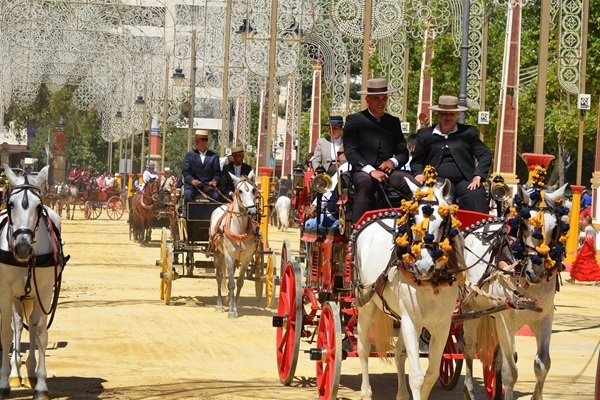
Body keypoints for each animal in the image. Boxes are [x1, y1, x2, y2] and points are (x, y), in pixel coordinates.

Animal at [0, 164, 68, 398]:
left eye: (39, 207)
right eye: (11, 204)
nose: (22, 247)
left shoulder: (45, 291)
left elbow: (40, 334)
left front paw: (40, 385)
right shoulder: (5, 293)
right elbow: (7, 333)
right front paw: (4, 381)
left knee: (31, 324)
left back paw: (28, 371)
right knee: (18, 325)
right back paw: (15, 372)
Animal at [209, 172, 258, 318]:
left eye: (253, 190)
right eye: (240, 191)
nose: (252, 212)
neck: (240, 230)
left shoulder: (246, 258)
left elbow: (240, 282)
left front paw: (235, 306)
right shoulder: (229, 257)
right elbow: (231, 284)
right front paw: (231, 310)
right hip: (218, 254)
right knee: (219, 277)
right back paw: (219, 305)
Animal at [354, 178, 466, 400]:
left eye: (444, 221)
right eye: (413, 219)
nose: (423, 266)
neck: (432, 283)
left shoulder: (442, 326)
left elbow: (431, 375)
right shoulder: (411, 322)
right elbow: (416, 377)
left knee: (399, 352)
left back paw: (401, 394)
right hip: (366, 303)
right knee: (363, 348)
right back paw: (366, 392)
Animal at [462, 183, 568, 398]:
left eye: (555, 227)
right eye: (524, 224)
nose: (536, 271)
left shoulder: (545, 317)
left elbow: (542, 364)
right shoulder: (505, 323)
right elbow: (510, 373)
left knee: (496, 357)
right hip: (472, 310)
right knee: (469, 347)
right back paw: (469, 390)